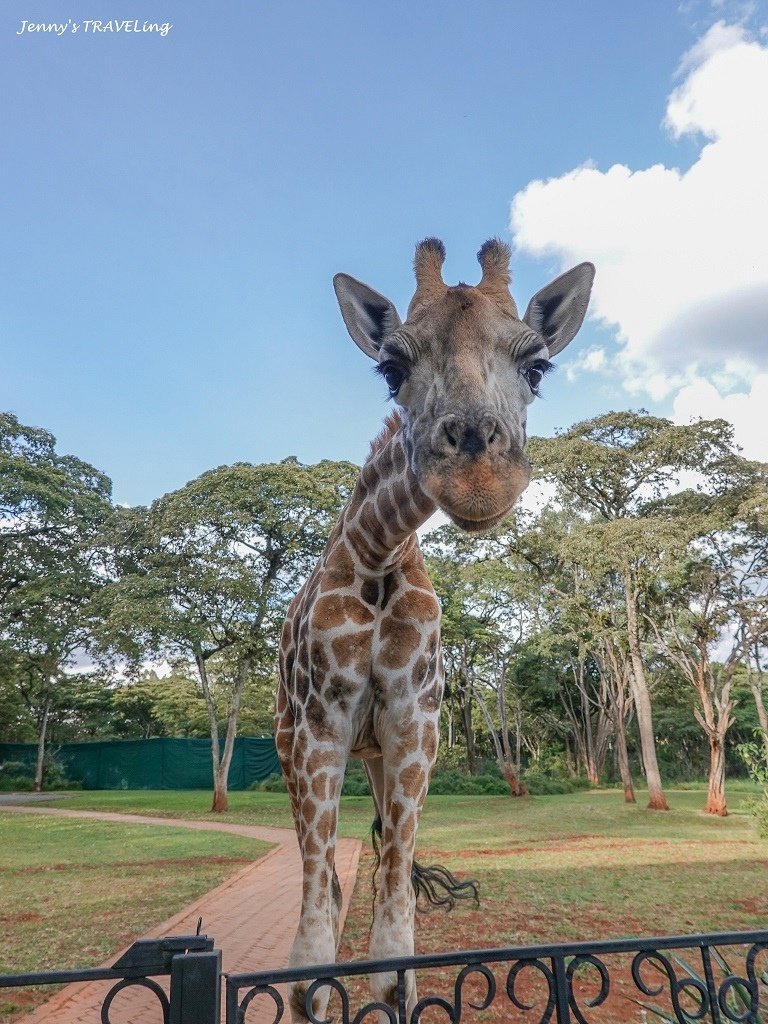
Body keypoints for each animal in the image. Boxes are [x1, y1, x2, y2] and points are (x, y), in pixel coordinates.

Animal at [276, 237, 593, 1015]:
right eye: (392, 367)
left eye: (537, 367)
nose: (478, 482)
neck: (379, 551)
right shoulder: (319, 728)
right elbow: (311, 970)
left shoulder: (414, 725)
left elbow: (395, 964)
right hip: (292, 746)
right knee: (327, 883)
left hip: (375, 754)